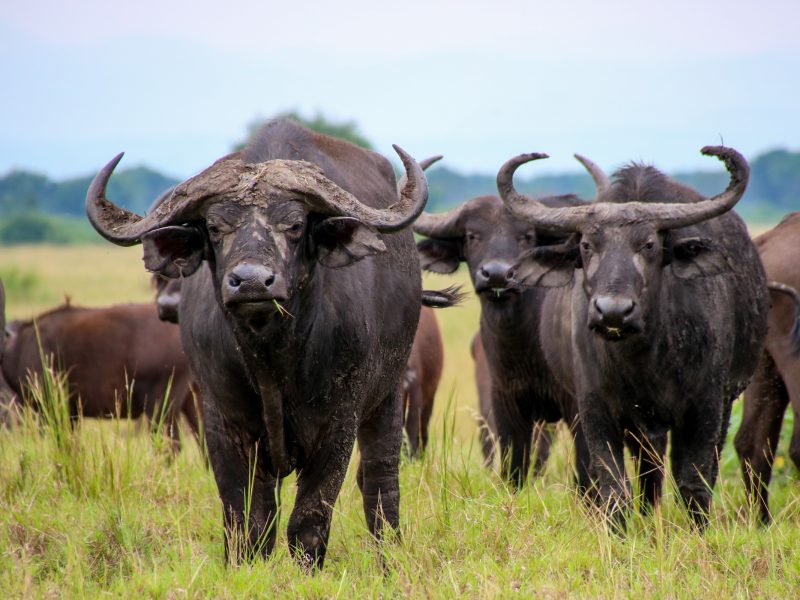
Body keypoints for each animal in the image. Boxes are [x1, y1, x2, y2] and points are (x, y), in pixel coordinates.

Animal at [0, 300, 198, 446]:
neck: (20, 347)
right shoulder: (72, 414)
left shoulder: (51, 408)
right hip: (192, 400)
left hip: (161, 405)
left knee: (169, 446)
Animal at [86, 118, 432, 568]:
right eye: (215, 227)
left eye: (296, 225)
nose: (251, 281)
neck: (273, 357)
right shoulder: (222, 421)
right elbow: (246, 518)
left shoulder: (339, 421)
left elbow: (309, 518)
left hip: (388, 396)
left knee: (379, 479)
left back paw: (388, 557)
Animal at [412, 155, 608, 488]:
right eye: (471, 236)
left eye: (526, 236)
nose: (497, 275)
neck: (523, 344)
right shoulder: (505, 407)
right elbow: (512, 470)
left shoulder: (578, 410)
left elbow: (586, 473)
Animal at [496, 146, 772, 528]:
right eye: (586, 245)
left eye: (649, 245)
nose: (613, 312)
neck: (643, 359)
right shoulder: (595, 411)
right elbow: (613, 487)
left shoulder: (706, 406)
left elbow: (694, 481)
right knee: (648, 473)